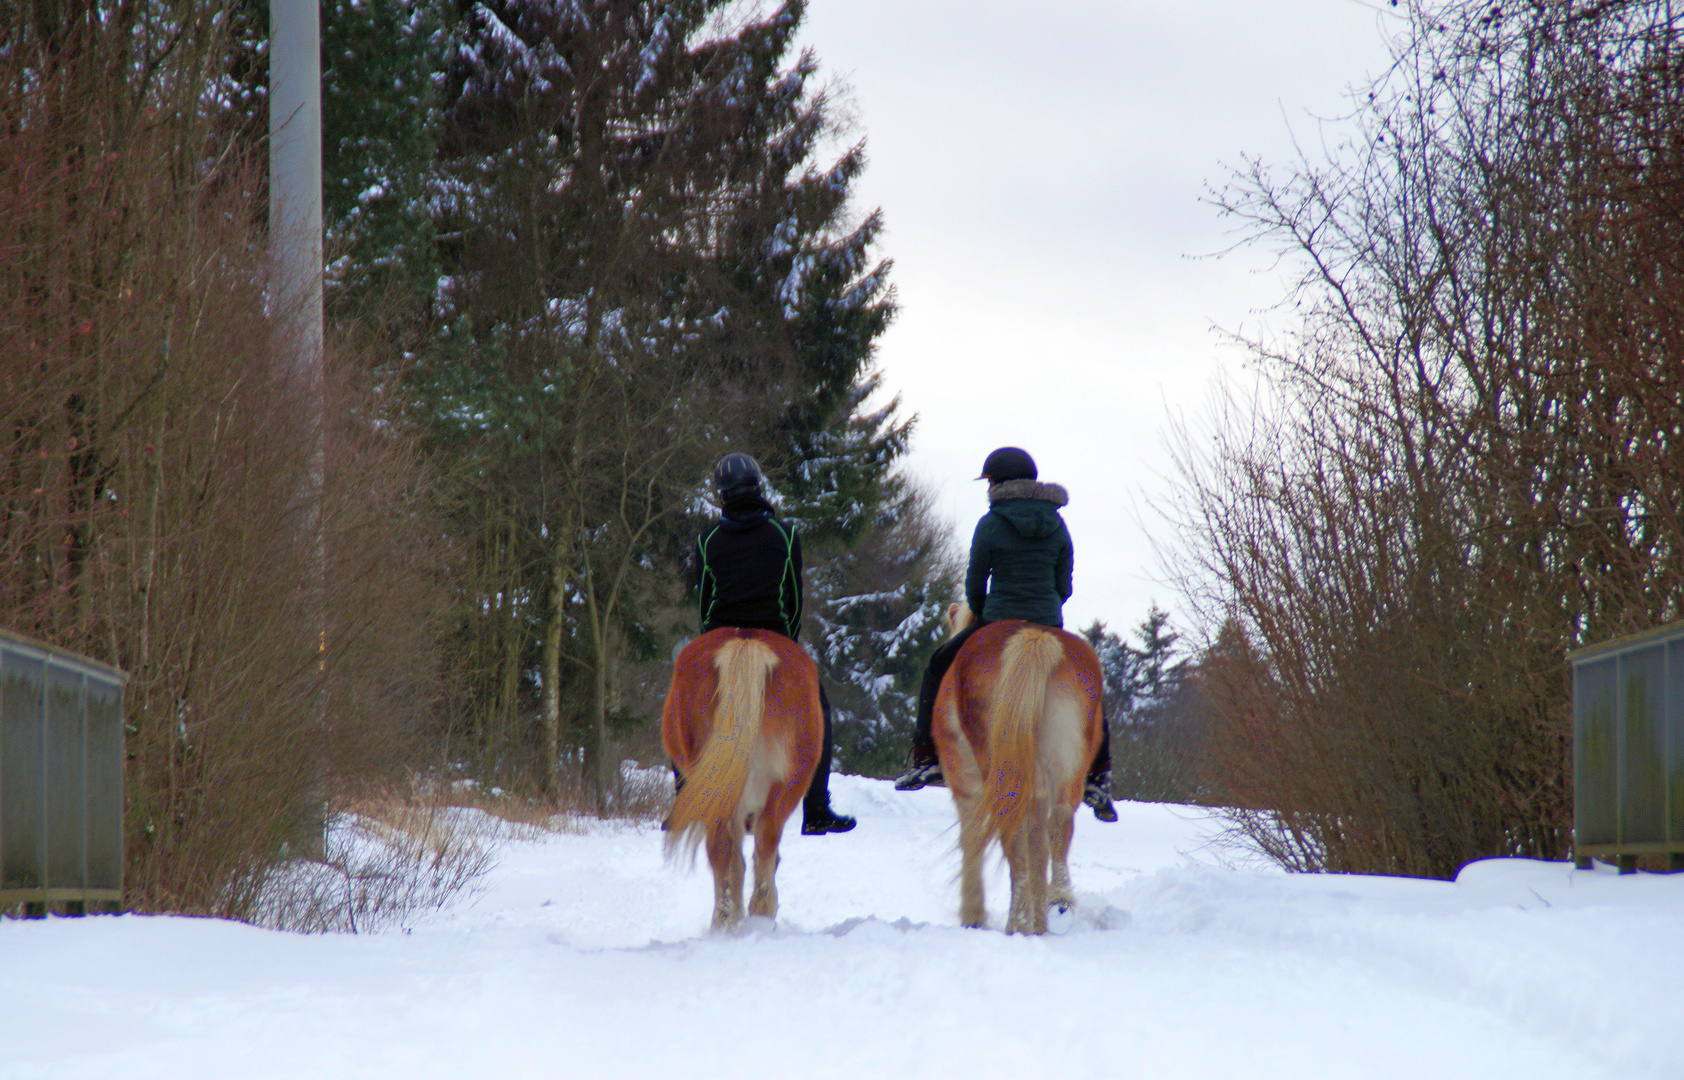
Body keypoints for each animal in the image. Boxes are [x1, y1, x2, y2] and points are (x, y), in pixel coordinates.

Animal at [656, 626, 821, 930]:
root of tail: (747, 642)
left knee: (729, 851)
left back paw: (730, 921)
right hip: (784, 787)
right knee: (762, 845)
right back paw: (755, 917)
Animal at [936, 603, 1104, 930]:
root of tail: (1035, 637)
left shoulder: (965, 784)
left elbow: (970, 839)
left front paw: (972, 914)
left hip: (999, 771)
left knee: (1016, 832)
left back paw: (1020, 922)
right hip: (1067, 768)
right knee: (1053, 824)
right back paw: (1051, 908)